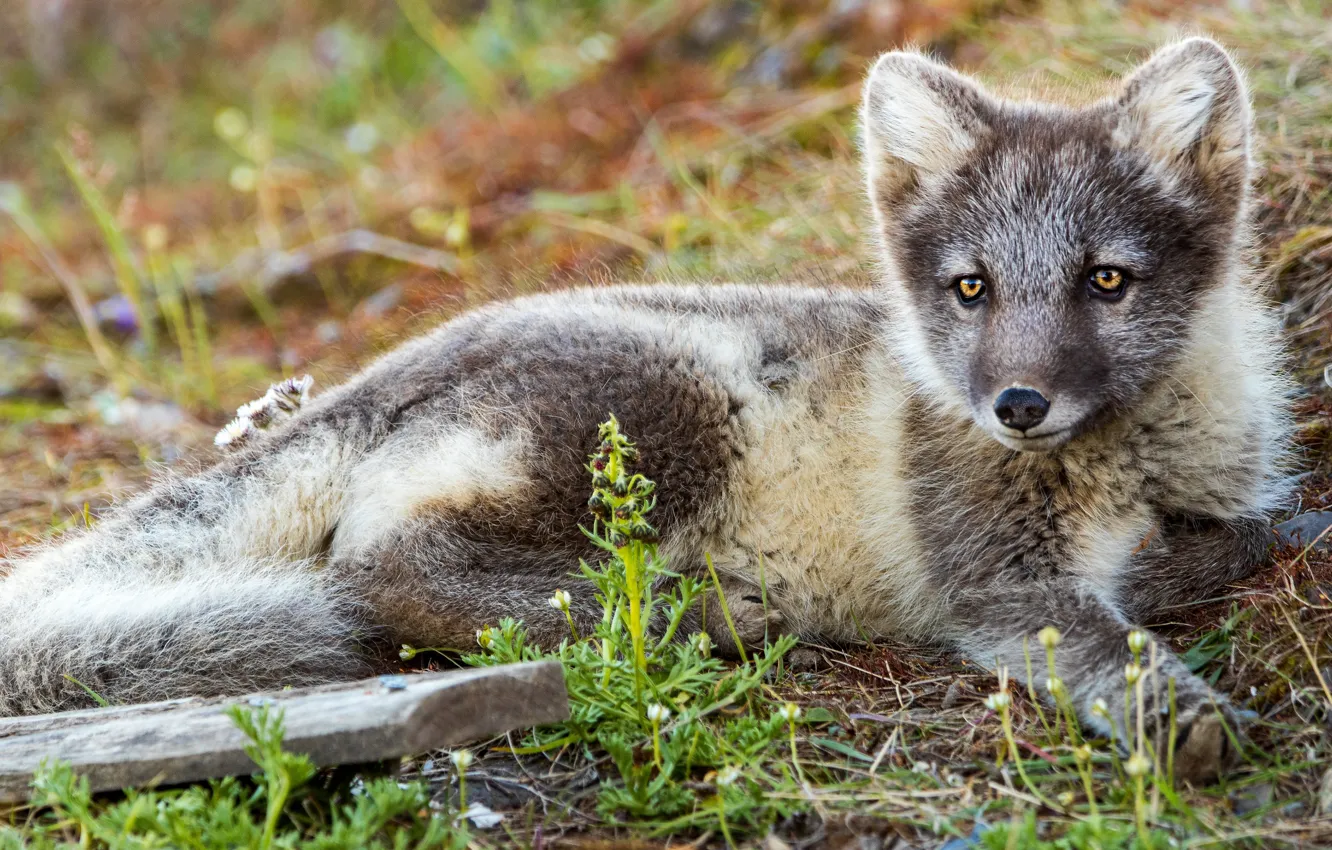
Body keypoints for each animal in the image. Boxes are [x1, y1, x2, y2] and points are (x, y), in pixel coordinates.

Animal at [0, 38, 1289, 782]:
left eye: (1106, 280)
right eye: (971, 288)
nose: (1018, 406)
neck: (1139, 456)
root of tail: (407, 357)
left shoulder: (1235, 492)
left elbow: (1250, 532)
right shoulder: (992, 575)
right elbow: (1104, 628)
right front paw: (1176, 713)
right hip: (667, 416)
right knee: (379, 570)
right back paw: (704, 613)